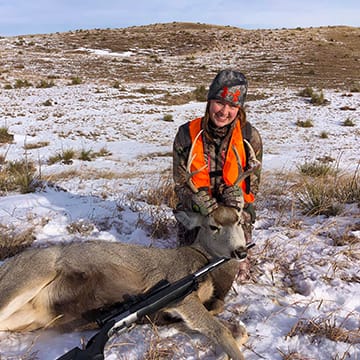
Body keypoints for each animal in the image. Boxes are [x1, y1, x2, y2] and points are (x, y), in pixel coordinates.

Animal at [0, 134, 260, 358]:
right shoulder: (183, 294)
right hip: (26, 276)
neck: (205, 264)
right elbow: (221, 331)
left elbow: (238, 330)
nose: (240, 251)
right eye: (213, 226)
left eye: (238, 219)